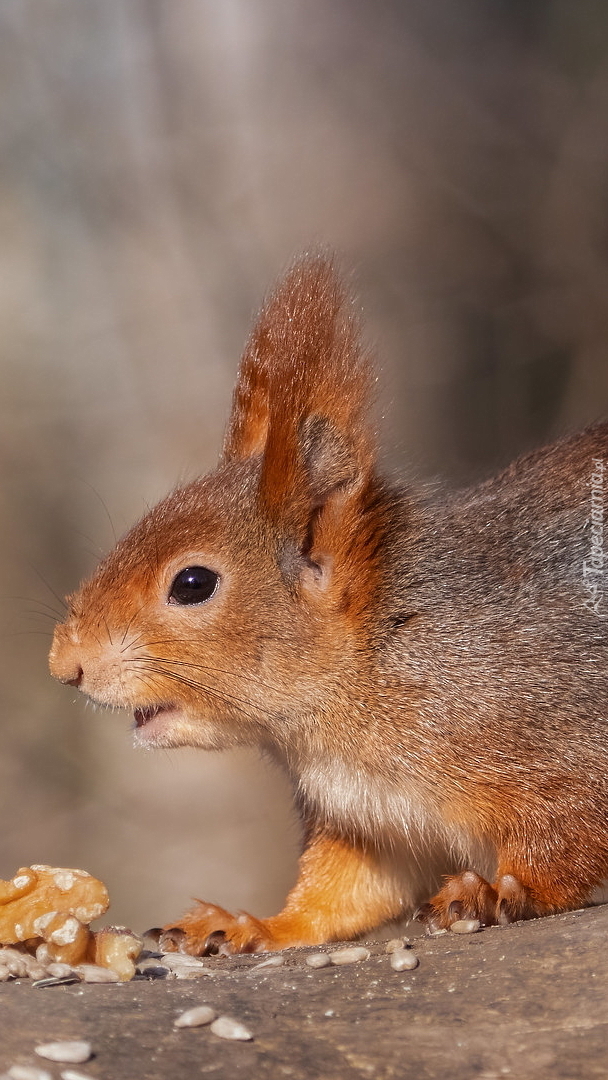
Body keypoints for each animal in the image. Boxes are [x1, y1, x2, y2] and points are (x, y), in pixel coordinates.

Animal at [48, 257, 608, 950]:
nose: (64, 665)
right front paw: (251, 925)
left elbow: (567, 840)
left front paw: (502, 891)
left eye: (192, 584)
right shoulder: (366, 819)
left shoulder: (560, 729)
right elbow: (345, 894)